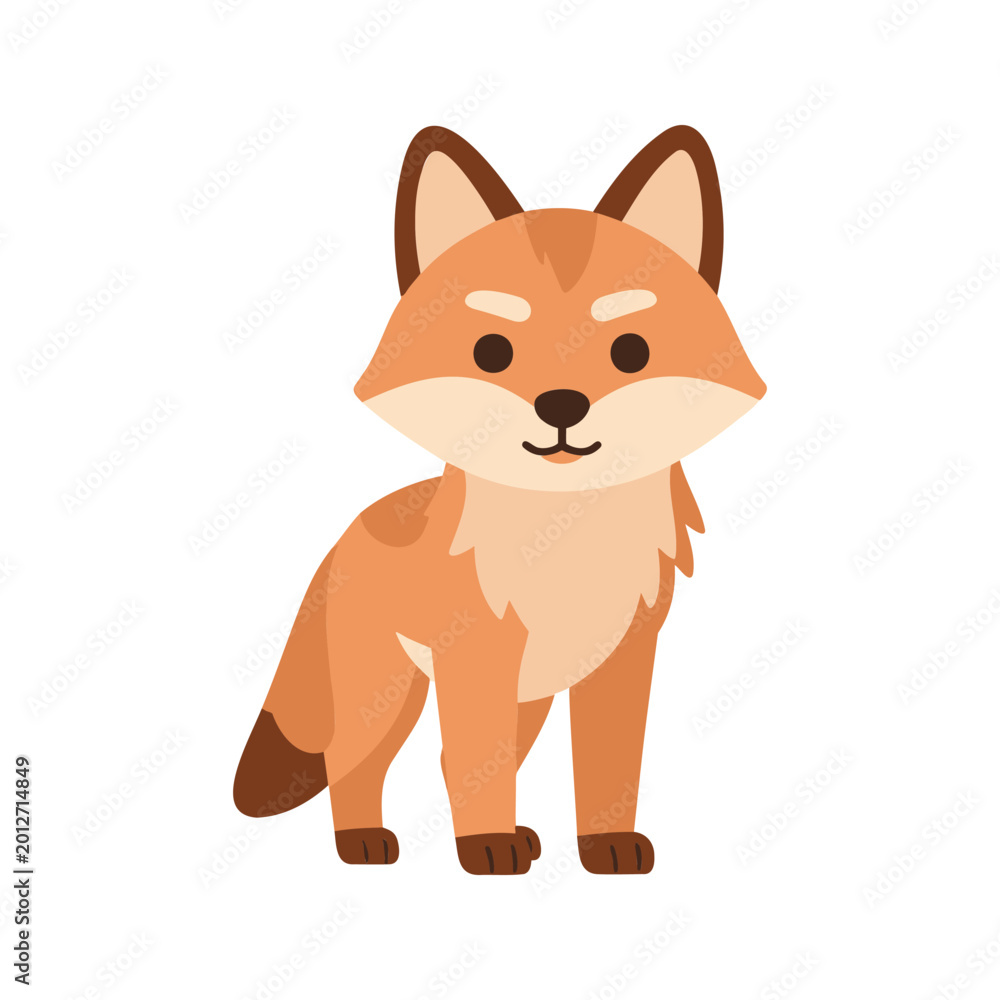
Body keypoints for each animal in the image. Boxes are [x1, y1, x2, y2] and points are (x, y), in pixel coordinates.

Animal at [234, 124, 766, 875]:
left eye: (632, 351)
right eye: (491, 351)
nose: (562, 405)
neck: (562, 538)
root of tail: (349, 531)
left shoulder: (622, 658)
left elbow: (608, 768)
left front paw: (604, 846)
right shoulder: (477, 659)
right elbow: (471, 761)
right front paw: (484, 847)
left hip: (525, 698)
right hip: (385, 692)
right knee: (356, 762)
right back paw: (364, 841)